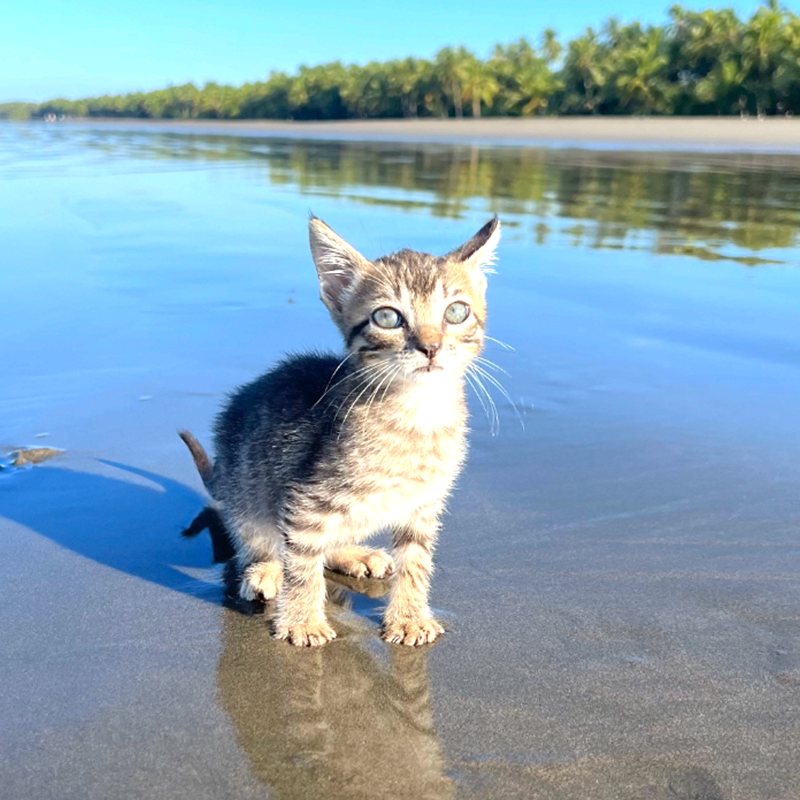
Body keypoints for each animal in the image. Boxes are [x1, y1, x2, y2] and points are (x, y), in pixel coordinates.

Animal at [181, 212, 500, 644]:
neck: (418, 411)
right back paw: (265, 570)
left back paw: (354, 554)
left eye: (456, 312)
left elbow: (415, 561)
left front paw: (409, 616)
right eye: (388, 317)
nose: (431, 347)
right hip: (248, 491)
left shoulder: (423, 504)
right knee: (263, 542)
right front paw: (302, 619)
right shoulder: (305, 499)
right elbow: (302, 560)